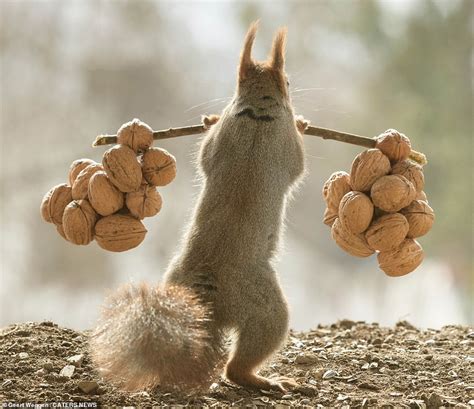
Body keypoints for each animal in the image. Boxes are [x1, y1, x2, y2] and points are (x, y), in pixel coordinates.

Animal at [91, 21, 308, 392]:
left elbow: (206, 153)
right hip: (268, 311)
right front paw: (304, 124)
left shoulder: (219, 141)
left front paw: (209, 119)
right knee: (239, 366)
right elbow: (300, 163)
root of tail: (210, 295)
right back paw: (265, 380)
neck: (257, 111)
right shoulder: (286, 144)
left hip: (176, 280)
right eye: (289, 82)